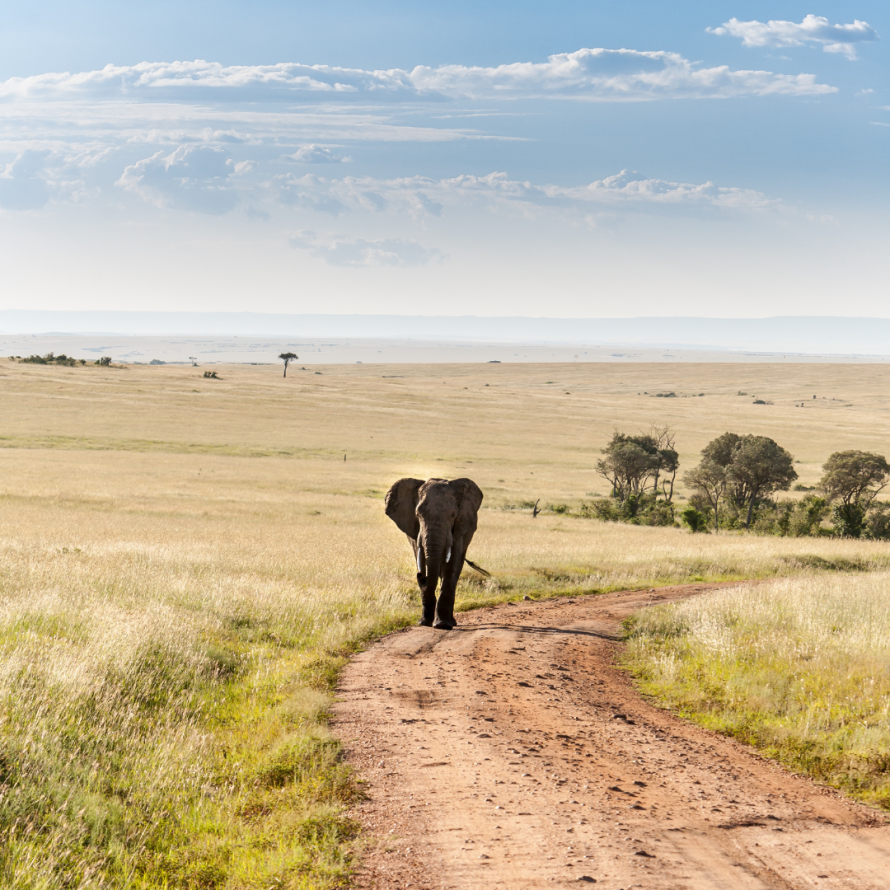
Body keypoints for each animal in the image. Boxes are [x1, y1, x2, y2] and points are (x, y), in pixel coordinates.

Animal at [384, 476, 486, 628]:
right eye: (418, 514)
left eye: (453, 515)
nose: (420, 576)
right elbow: (421, 557)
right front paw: (425, 622)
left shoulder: (460, 527)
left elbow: (451, 564)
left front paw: (442, 625)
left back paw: (450, 622)